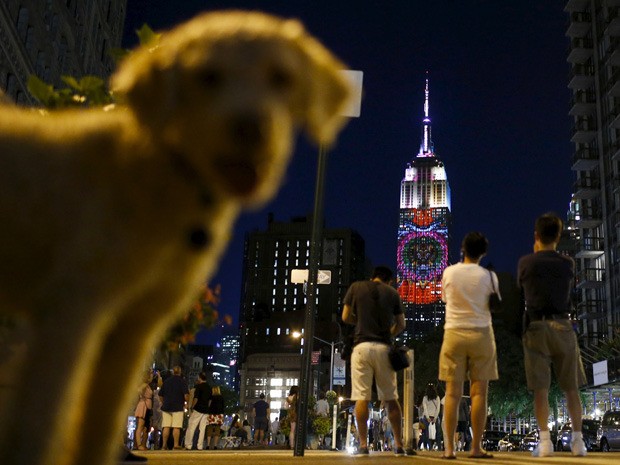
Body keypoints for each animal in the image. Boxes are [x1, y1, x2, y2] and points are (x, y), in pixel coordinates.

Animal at [0, 10, 352, 465]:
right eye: (208, 76)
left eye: (281, 77)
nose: (250, 126)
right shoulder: (72, 308)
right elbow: (47, 413)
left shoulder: (129, 328)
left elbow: (97, 422)